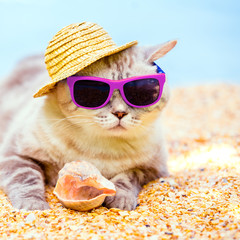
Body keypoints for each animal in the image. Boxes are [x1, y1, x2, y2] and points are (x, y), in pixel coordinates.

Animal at [0, 40, 176, 211]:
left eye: (141, 92)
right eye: (93, 93)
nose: (120, 113)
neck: (101, 151)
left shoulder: (153, 168)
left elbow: (128, 176)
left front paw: (120, 199)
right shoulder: (15, 154)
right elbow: (27, 179)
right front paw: (34, 207)